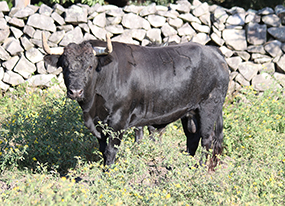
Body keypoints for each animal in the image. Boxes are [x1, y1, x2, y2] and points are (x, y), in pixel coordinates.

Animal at [42, 35, 229, 171]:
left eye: (89, 66)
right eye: (65, 66)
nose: (75, 91)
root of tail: (213, 51)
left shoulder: (118, 120)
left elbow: (111, 150)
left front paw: (108, 173)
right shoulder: (100, 125)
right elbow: (103, 149)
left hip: (209, 107)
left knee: (207, 139)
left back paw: (200, 168)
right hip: (190, 112)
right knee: (192, 138)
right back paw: (187, 166)